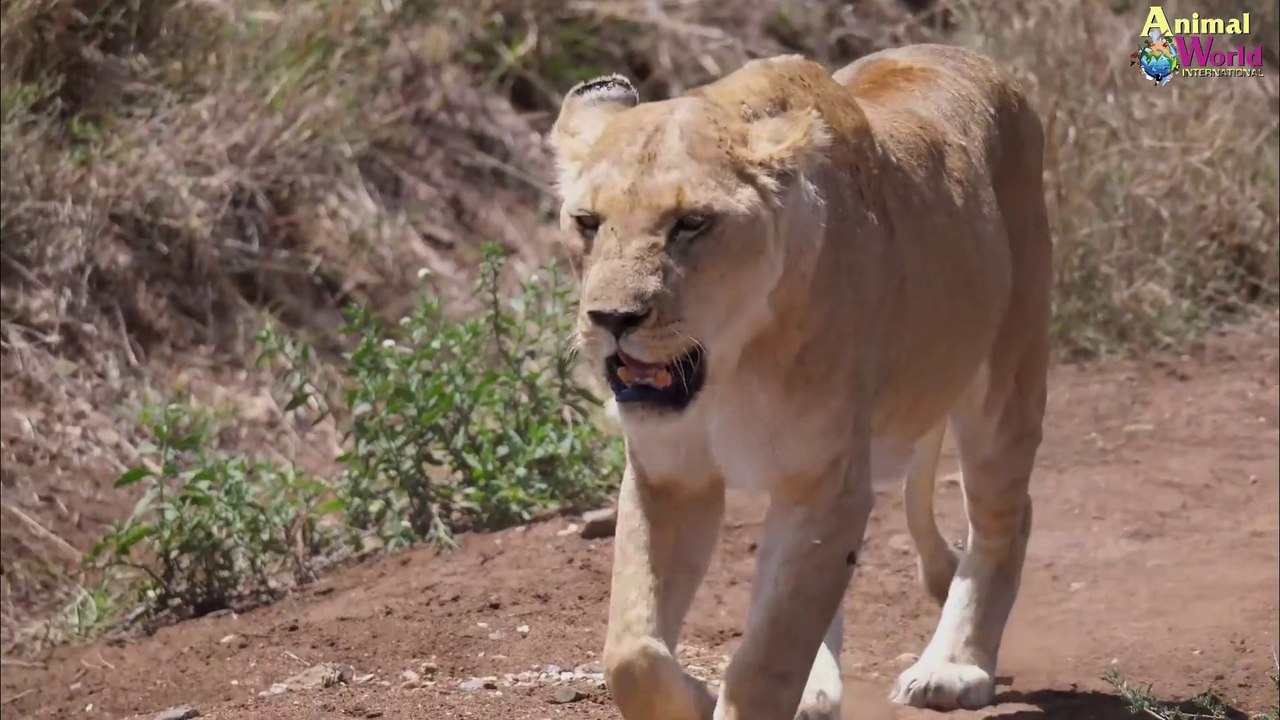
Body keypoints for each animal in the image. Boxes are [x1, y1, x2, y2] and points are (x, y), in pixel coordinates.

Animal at [548, 42, 1052, 720]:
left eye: (692, 223)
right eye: (587, 221)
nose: (612, 319)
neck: (729, 367)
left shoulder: (825, 483)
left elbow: (768, 657)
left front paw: (731, 695)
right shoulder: (670, 475)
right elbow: (631, 650)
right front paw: (699, 694)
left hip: (1006, 378)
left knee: (1006, 519)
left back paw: (953, 669)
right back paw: (817, 689)